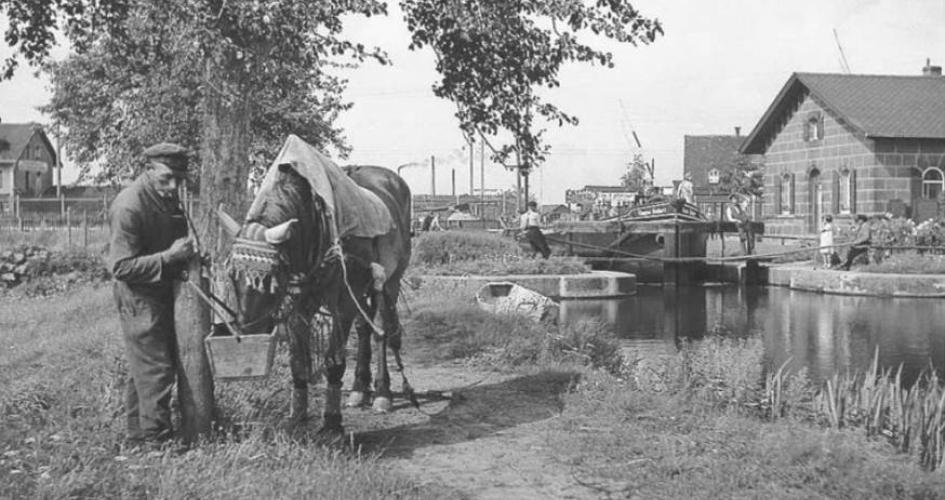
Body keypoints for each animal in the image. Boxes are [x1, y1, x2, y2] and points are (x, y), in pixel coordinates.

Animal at [225, 162, 412, 432]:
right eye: (232, 275)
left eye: (270, 277)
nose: (249, 333)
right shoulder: (300, 302)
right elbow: (298, 362)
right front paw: (297, 416)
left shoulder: (344, 302)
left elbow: (334, 360)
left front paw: (332, 422)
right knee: (364, 330)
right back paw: (360, 388)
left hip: (390, 281)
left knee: (380, 331)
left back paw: (382, 392)